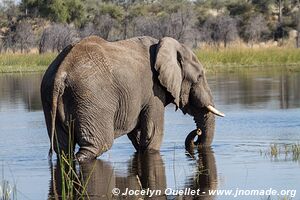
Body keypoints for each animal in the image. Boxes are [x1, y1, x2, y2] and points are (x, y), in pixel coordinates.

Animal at [39, 35, 224, 162]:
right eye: (199, 77)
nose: (197, 133)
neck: (163, 45)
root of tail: (61, 72)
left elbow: (139, 134)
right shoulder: (153, 91)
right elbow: (153, 133)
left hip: (50, 98)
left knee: (63, 148)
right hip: (91, 99)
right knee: (97, 145)